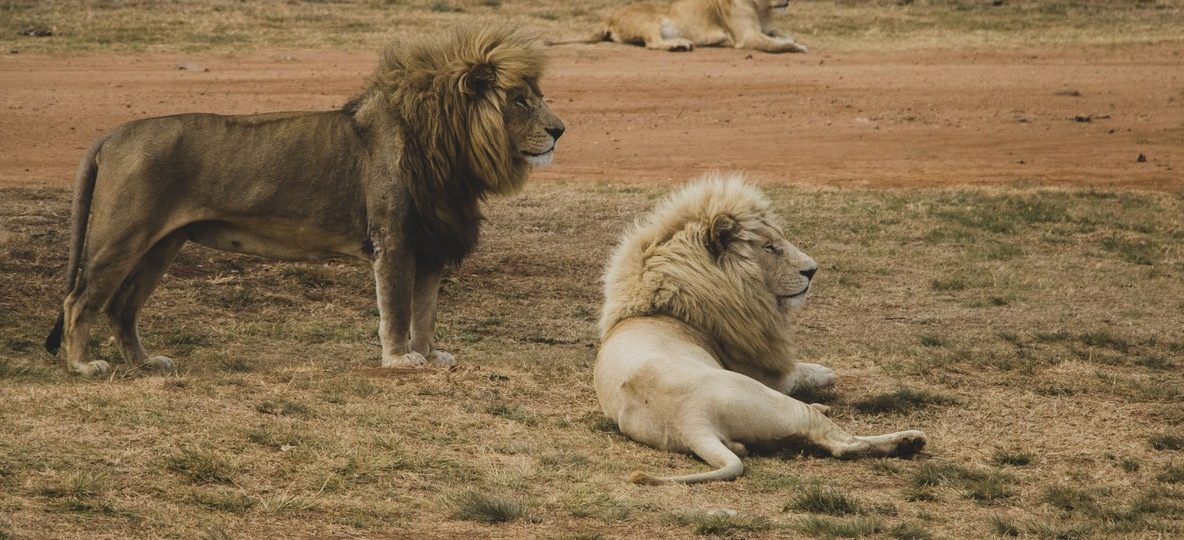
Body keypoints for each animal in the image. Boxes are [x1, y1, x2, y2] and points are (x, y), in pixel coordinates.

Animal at [43, 24, 565, 376]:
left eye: (537, 96)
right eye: (519, 100)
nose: (560, 130)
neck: (451, 151)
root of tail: (111, 134)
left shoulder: (431, 243)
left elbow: (425, 311)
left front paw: (429, 353)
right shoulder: (394, 238)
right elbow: (397, 308)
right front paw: (399, 359)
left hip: (162, 246)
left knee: (121, 308)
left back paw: (146, 363)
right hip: (122, 237)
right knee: (79, 300)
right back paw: (82, 366)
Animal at [594, 174, 926, 484]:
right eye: (770, 247)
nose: (813, 270)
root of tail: (690, 423)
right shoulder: (765, 373)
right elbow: (801, 372)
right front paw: (824, 370)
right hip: (773, 401)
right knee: (841, 443)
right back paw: (907, 440)